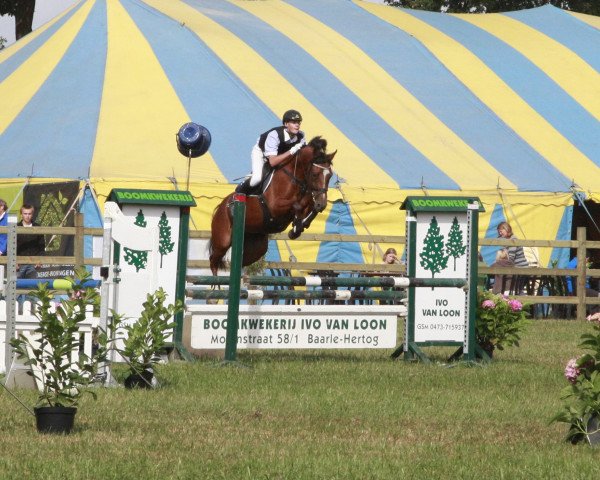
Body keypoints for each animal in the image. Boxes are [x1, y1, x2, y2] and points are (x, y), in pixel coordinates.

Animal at [209, 137, 336, 276]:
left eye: (330, 175)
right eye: (314, 174)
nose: (322, 204)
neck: (295, 178)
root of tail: (220, 207)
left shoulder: (308, 199)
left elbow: (310, 208)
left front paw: (298, 227)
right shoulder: (274, 206)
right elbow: (297, 205)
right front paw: (296, 227)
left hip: (256, 245)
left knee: (241, 262)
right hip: (223, 240)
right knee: (213, 261)